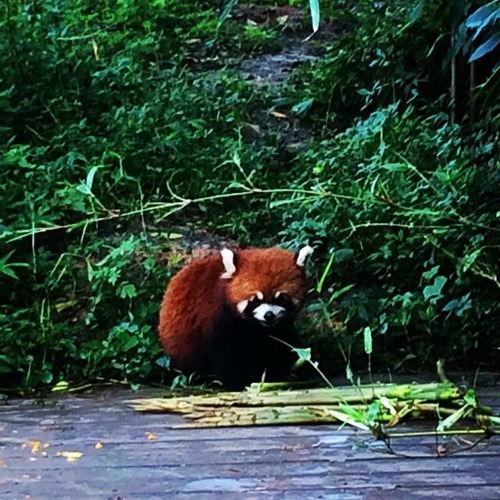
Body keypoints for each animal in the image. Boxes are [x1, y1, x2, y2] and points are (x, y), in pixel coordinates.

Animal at [158, 246, 312, 390]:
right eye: (256, 300)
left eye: (280, 299)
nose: (268, 315)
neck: (257, 327)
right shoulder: (220, 323)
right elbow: (228, 357)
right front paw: (244, 381)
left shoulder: (280, 327)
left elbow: (283, 344)